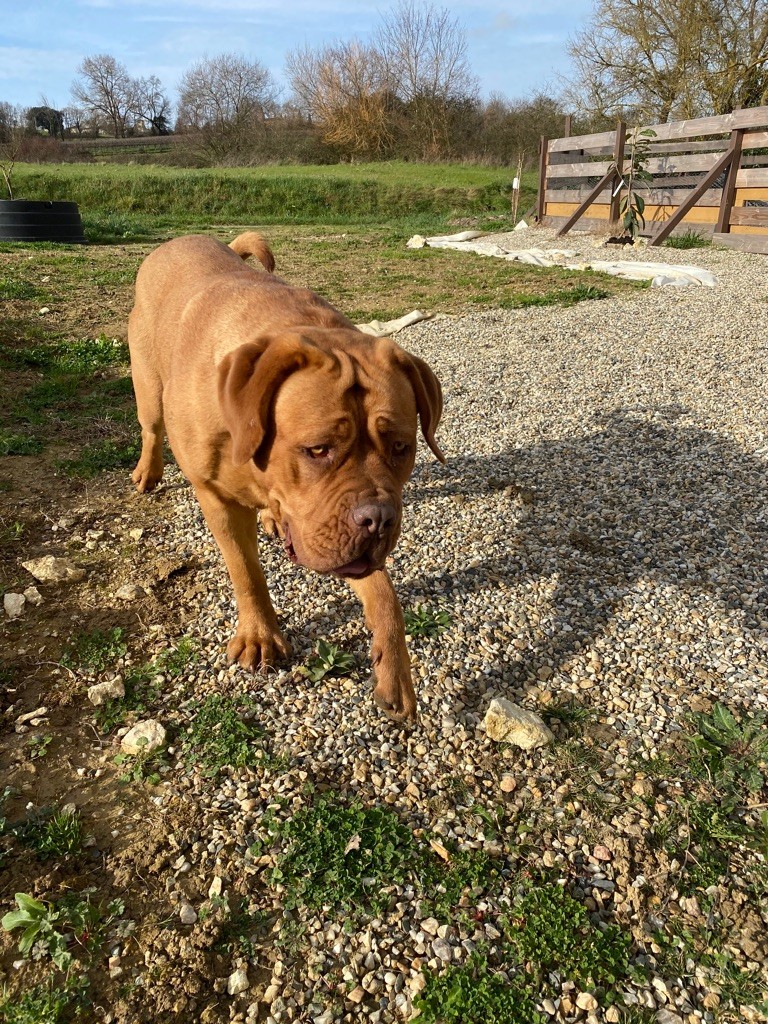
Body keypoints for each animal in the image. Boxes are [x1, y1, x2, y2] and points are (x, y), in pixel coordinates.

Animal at [128, 232, 444, 720]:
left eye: (400, 448)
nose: (379, 521)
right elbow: (245, 570)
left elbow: (385, 594)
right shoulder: (217, 497)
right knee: (150, 426)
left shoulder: (336, 528)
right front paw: (259, 634)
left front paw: (394, 671)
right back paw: (147, 471)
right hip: (146, 383)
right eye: (317, 450)